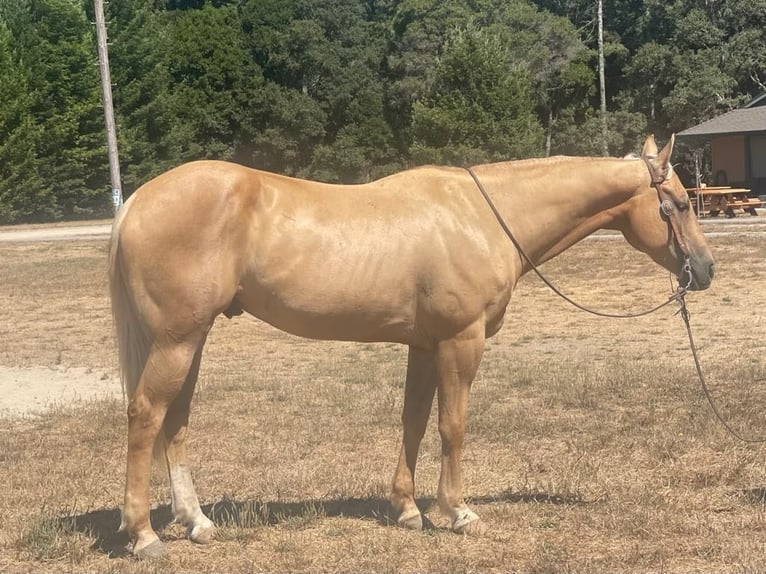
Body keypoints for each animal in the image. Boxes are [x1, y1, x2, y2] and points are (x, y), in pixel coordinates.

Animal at [109, 134, 714, 558]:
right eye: (682, 203)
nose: (706, 270)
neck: (481, 217)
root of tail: (136, 201)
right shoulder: (460, 341)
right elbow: (452, 426)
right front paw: (458, 512)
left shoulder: (424, 345)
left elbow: (414, 421)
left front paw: (406, 510)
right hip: (178, 339)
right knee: (146, 416)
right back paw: (144, 535)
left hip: (190, 339)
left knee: (175, 421)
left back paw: (196, 523)